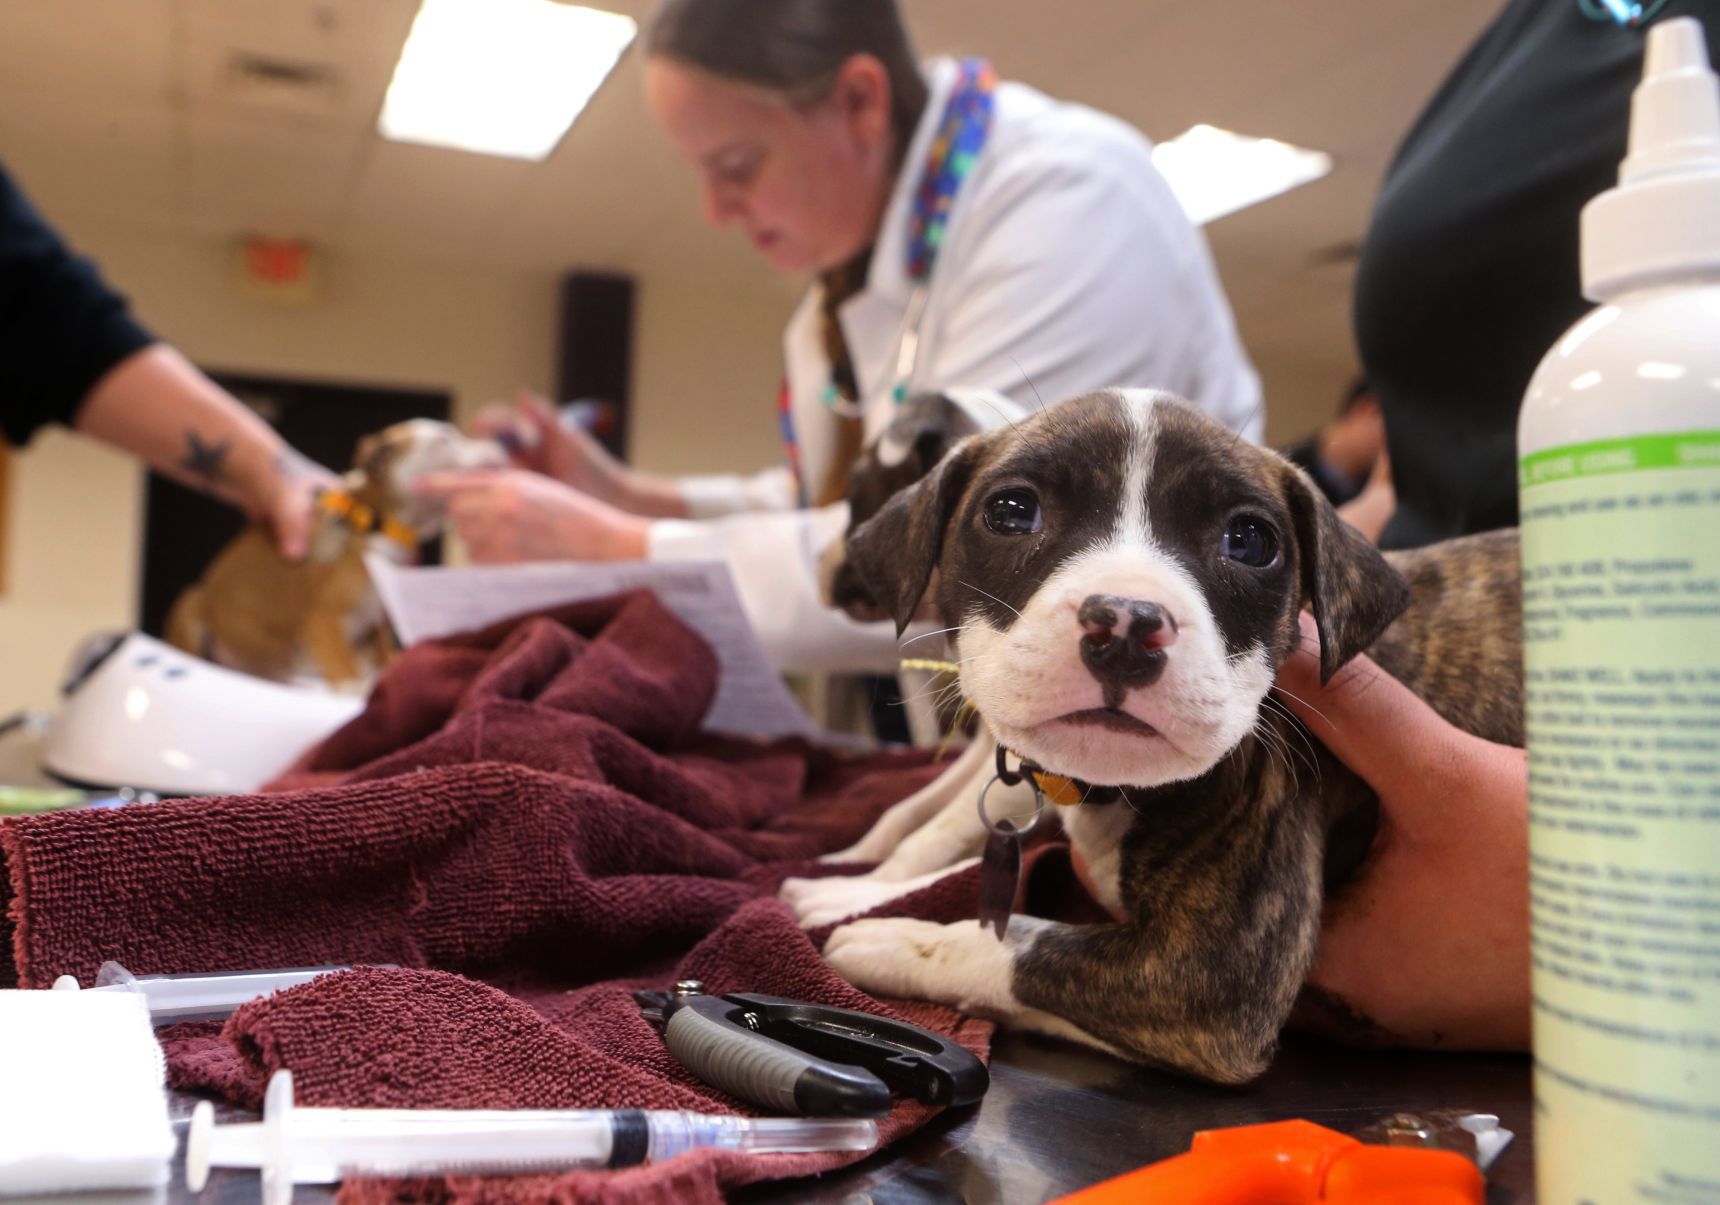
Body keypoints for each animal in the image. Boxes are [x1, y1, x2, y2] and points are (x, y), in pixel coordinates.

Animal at [165, 415, 502, 680]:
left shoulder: (372, 632)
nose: (497, 444)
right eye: (445, 440)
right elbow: (350, 682)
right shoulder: (323, 623)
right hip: (191, 606)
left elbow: (382, 666)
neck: (378, 523)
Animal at [780, 388, 1520, 1079]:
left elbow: (1025, 942)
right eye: (1011, 511)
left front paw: (896, 939)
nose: (1127, 624)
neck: (1108, 787)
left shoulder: (1205, 985)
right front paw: (857, 887)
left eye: (1250, 541)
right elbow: (944, 838)